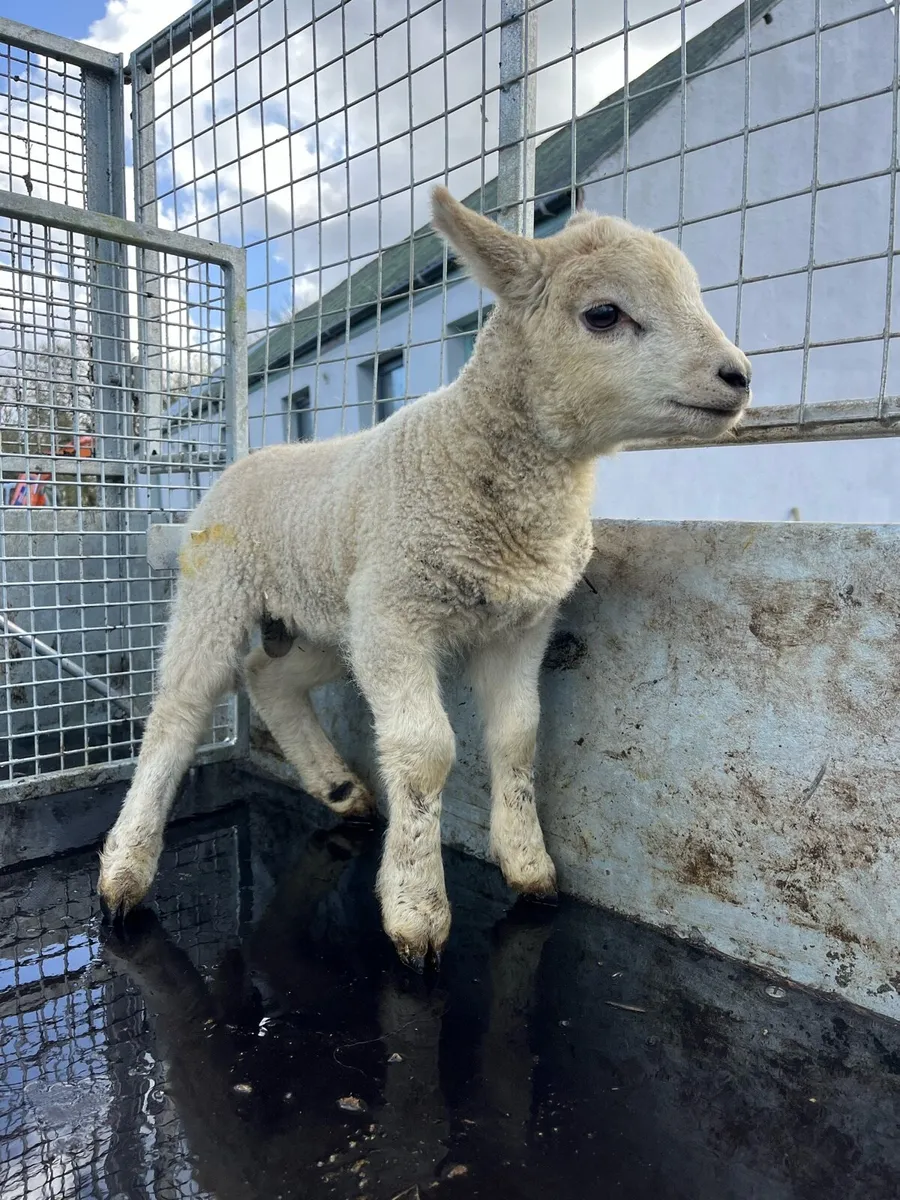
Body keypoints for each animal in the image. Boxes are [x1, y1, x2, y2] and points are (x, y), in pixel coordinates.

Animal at [98, 187, 751, 970]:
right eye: (603, 314)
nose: (739, 377)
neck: (479, 457)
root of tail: (245, 459)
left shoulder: (517, 624)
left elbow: (517, 737)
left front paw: (529, 868)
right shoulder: (398, 613)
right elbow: (426, 750)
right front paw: (415, 908)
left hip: (335, 616)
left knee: (268, 675)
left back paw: (340, 789)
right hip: (222, 587)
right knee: (181, 707)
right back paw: (124, 871)